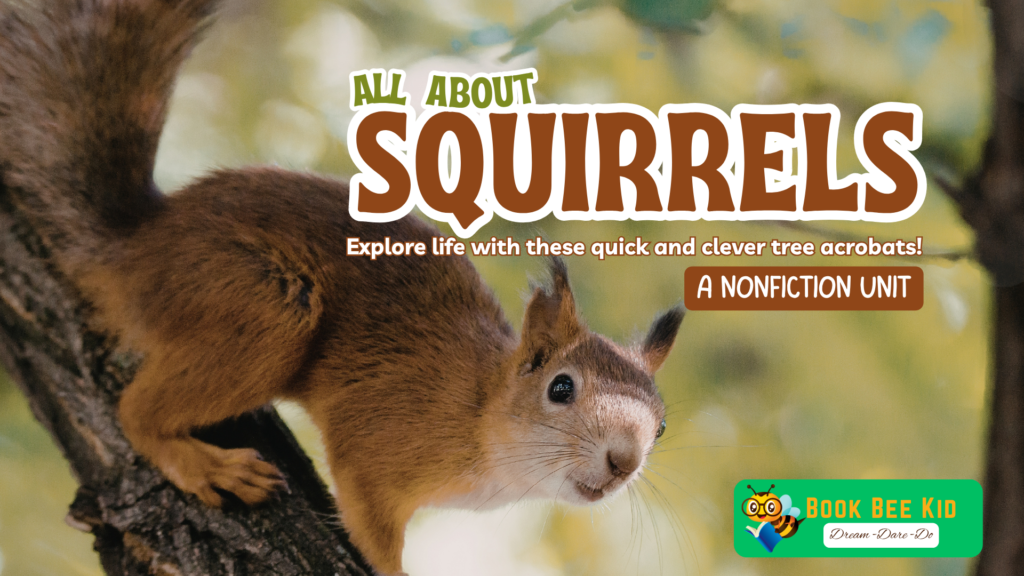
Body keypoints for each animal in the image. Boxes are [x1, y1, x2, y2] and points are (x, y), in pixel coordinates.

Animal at [0, 0, 684, 574]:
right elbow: (369, 521)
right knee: (133, 411)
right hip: (261, 302)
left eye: (660, 427)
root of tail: (139, 243)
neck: (479, 414)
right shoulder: (374, 443)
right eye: (560, 388)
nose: (623, 462)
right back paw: (204, 464)